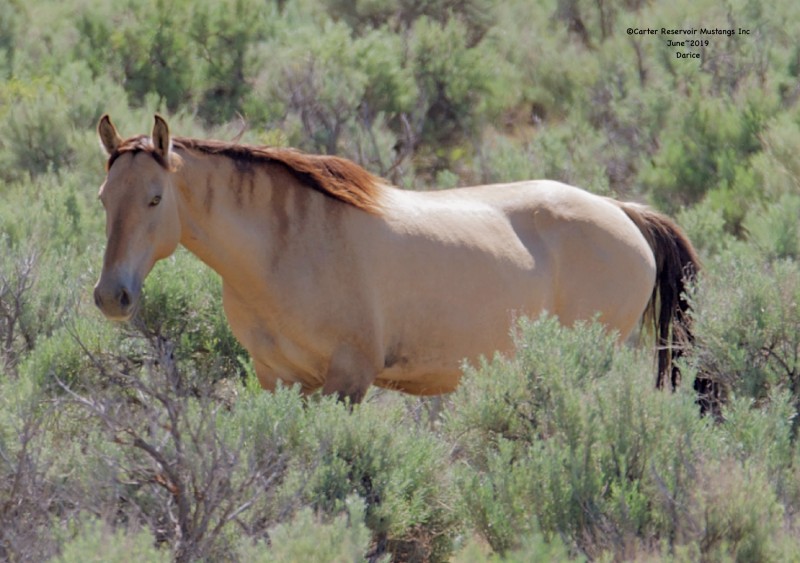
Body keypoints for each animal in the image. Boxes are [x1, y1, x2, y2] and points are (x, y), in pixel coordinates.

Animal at [93, 114, 701, 404]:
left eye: (155, 198)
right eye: (103, 198)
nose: (111, 297)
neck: (285, 250)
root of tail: (622, 211)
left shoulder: (348, 381)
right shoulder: (279, 379)